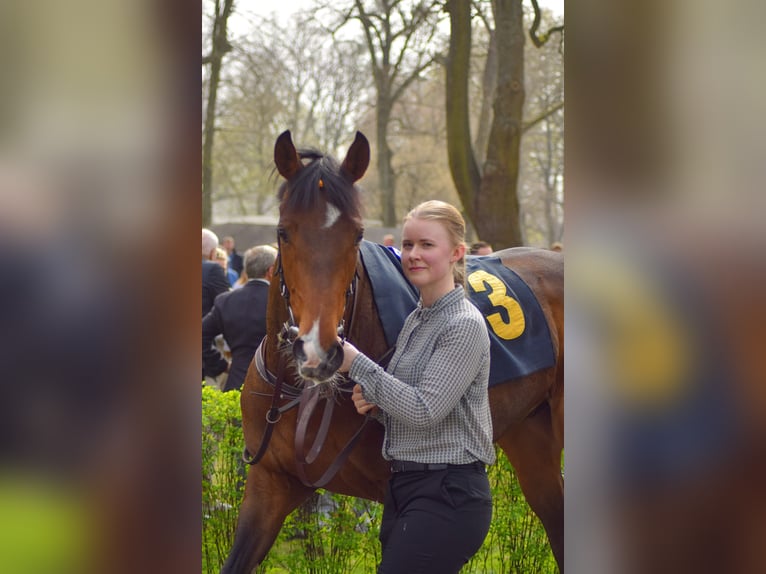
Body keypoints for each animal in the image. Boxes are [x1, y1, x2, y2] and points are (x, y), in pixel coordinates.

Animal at [222, 132, 564, 574]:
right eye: (282, 231)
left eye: (356, 234)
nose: (317, 351)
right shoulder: (269, 483)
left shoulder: (396, 494)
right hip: (530, 434)